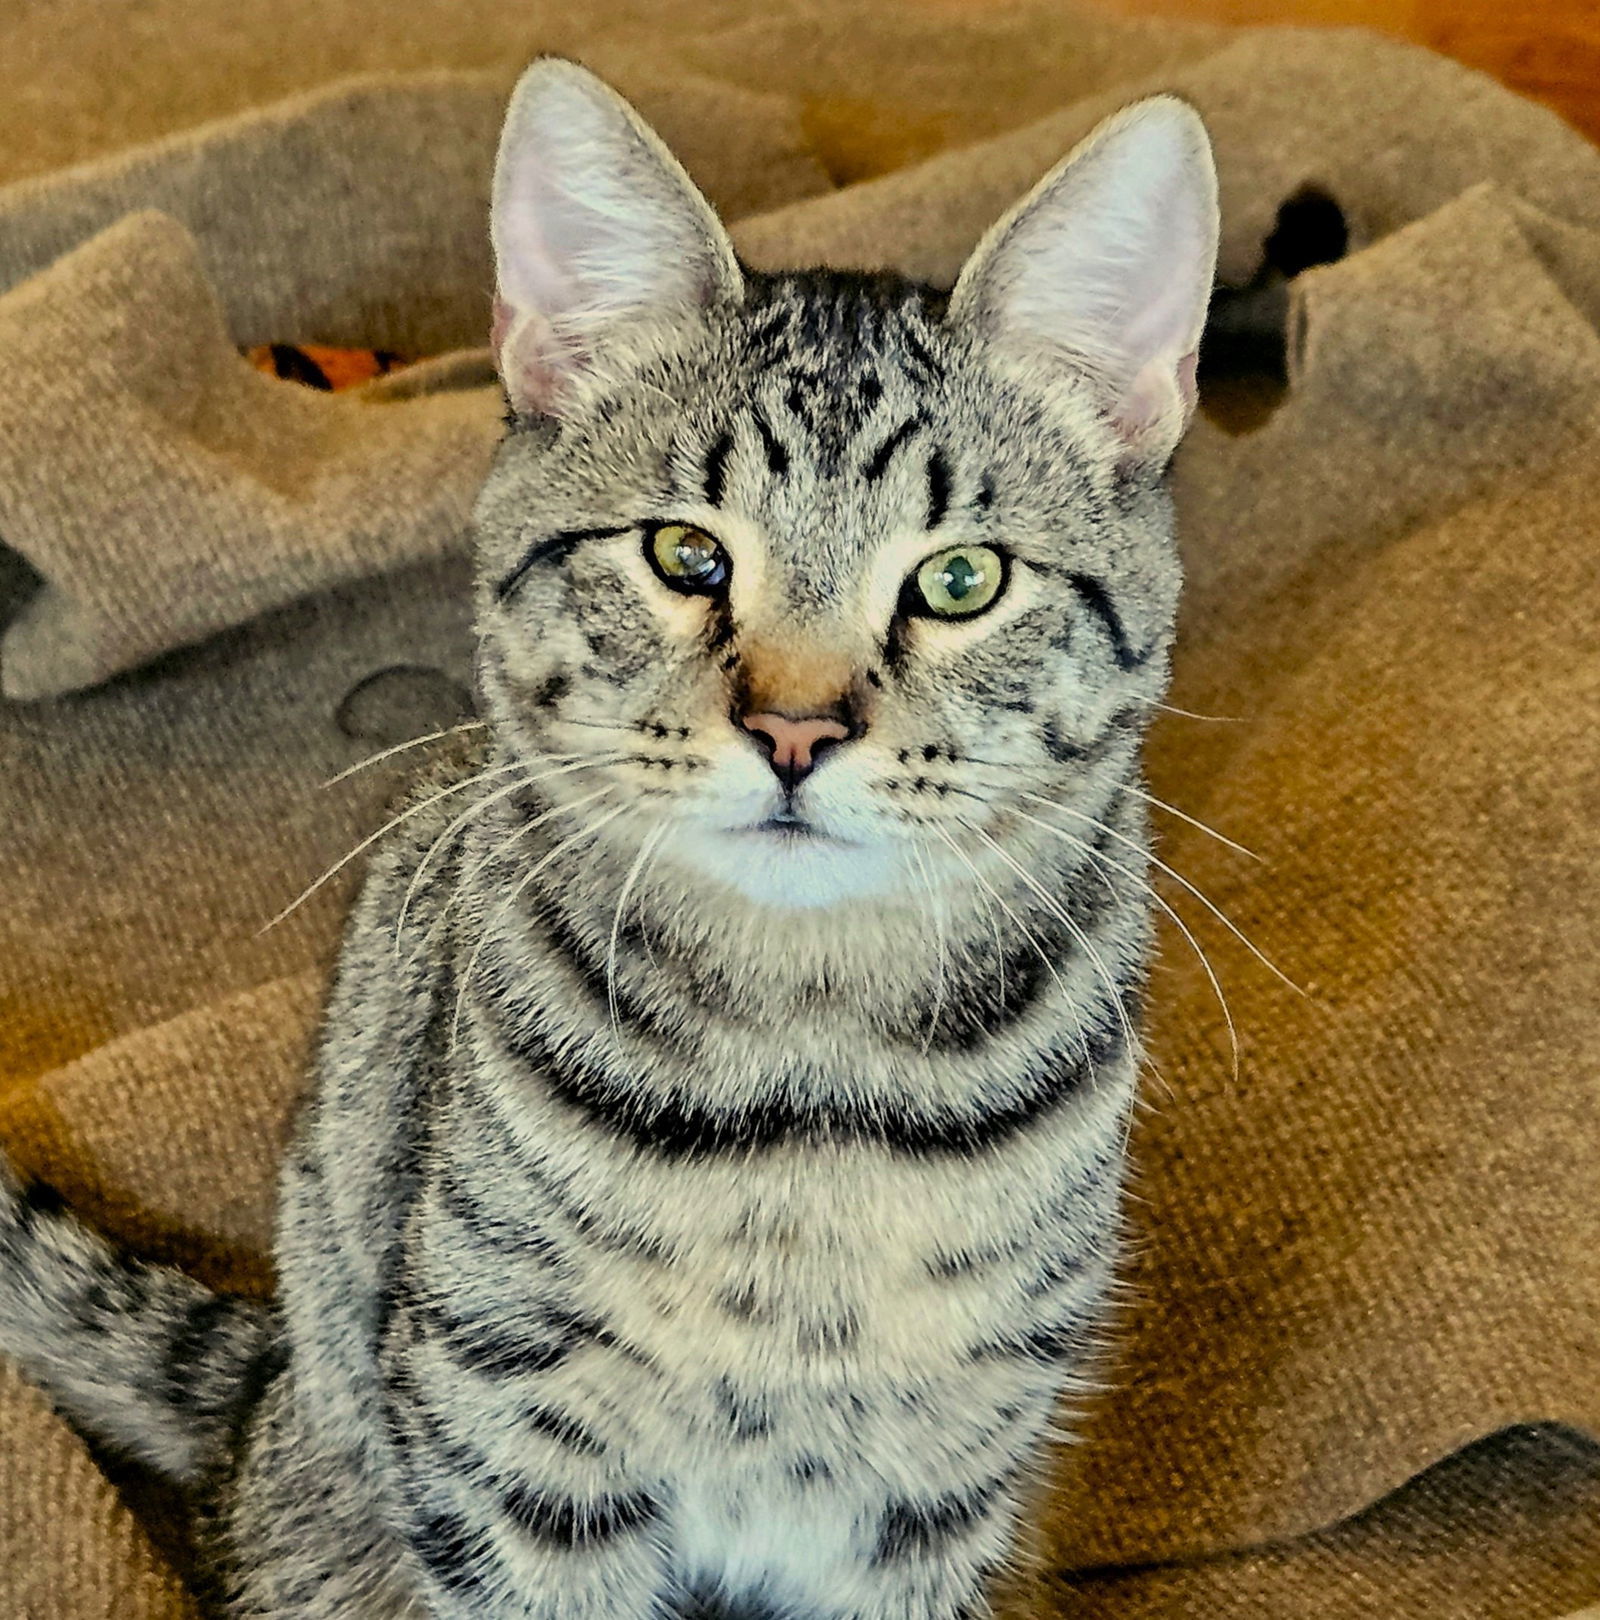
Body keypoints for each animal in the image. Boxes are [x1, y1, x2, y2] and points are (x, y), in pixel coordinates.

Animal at [0, 57, 1211, 1620]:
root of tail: (262, 1394)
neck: (808, 1068)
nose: (796, 730)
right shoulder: (510, 1422)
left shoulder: (944, 1469)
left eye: (960, 580)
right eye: (684, 555)